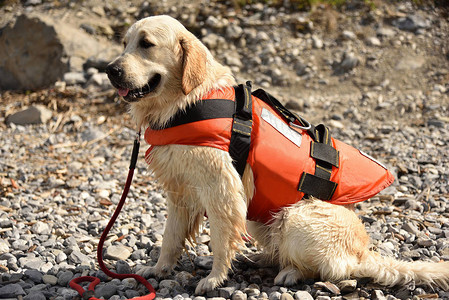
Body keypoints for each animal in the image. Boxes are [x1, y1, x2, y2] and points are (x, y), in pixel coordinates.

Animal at [107, 15, 448, 294]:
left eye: (146, 44)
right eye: (125, 44)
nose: (111, 69)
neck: (185, 102)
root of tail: (362, 252)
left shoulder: (222, 189)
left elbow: (220, 239)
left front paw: (214, 279)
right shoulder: (179, 190)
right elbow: (170, 237)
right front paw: (158, 269)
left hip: (295, 217)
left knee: (331, 269)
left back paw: (290, 272)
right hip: (262, 218)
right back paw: (261, 258)